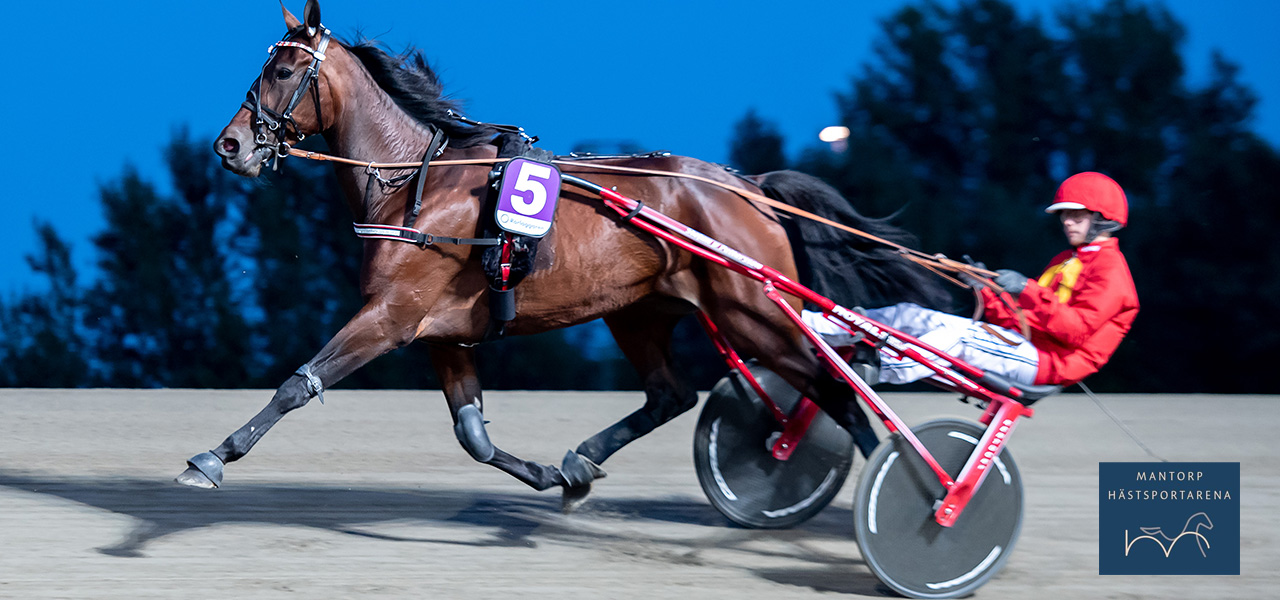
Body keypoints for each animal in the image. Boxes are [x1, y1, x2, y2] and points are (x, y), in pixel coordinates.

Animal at [175, 0, 947, 506]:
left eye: (282, 70)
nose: (229, 145)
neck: (415, 179)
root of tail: (748, 188)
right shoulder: (443, 334)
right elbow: (474, 437)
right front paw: (551, 475)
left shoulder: (391, 318)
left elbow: (299, 383)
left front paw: (212, 456)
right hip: (641, 312)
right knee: (675, 395)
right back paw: (583, 463)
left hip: (753, 313)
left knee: (835, 391)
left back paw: (910, 500)